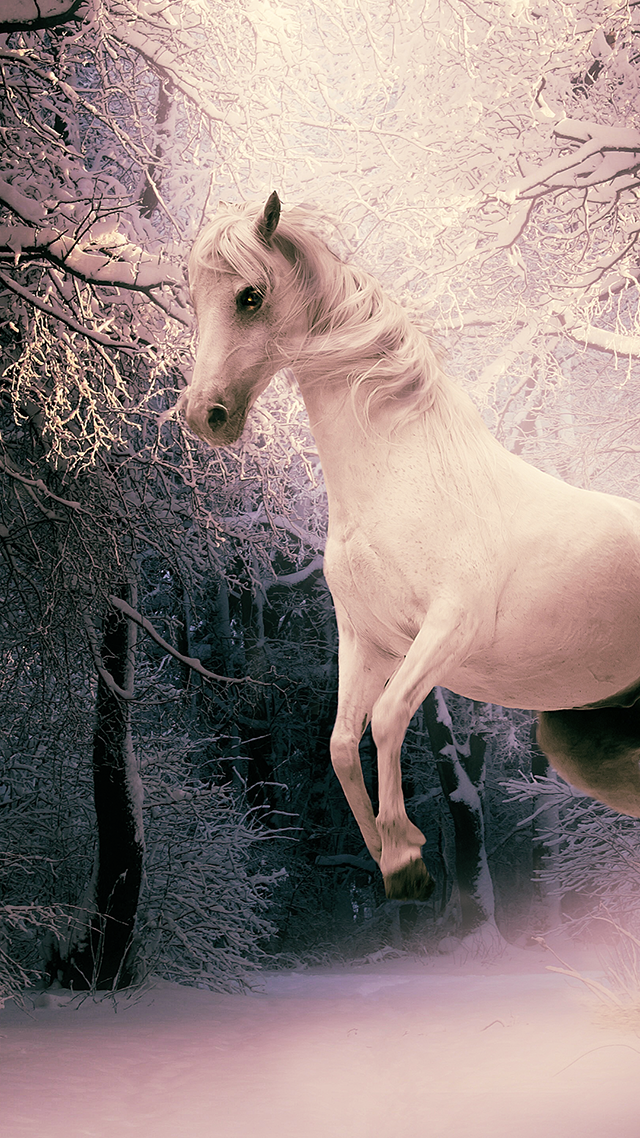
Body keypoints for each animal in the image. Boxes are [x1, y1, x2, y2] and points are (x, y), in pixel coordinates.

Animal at [181, 191, 640, 900]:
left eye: (249, 297)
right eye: (194, 298)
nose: (204, 415)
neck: (404, 477)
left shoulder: (450, 626)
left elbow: (390, 716)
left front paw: (404, 856)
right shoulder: (365, 638)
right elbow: (343, 742)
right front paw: (392, 856)